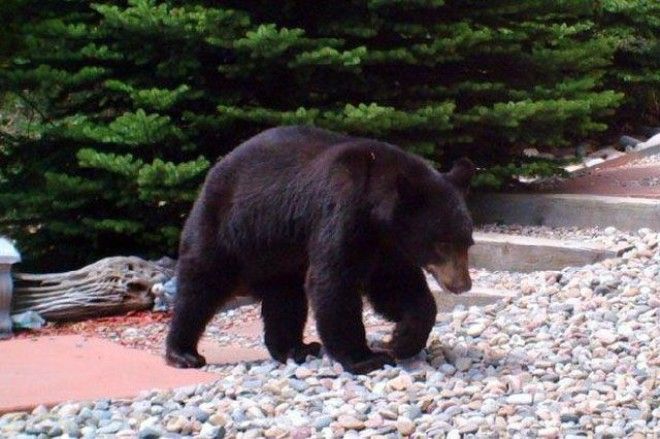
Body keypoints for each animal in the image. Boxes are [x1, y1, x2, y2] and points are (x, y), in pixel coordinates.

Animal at [166, 126, 474, 374]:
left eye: (467, 242)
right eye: (442, 242)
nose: (463, 285)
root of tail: (213, 172)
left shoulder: (387, 245)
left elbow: (397, 285)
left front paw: (402, 339)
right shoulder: (342, 212)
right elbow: (334, 280)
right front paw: (366, 358)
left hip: (280, 254)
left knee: (285, 298)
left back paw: (295, 348)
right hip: (228, 229)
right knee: (201, 285)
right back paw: (183, 353)